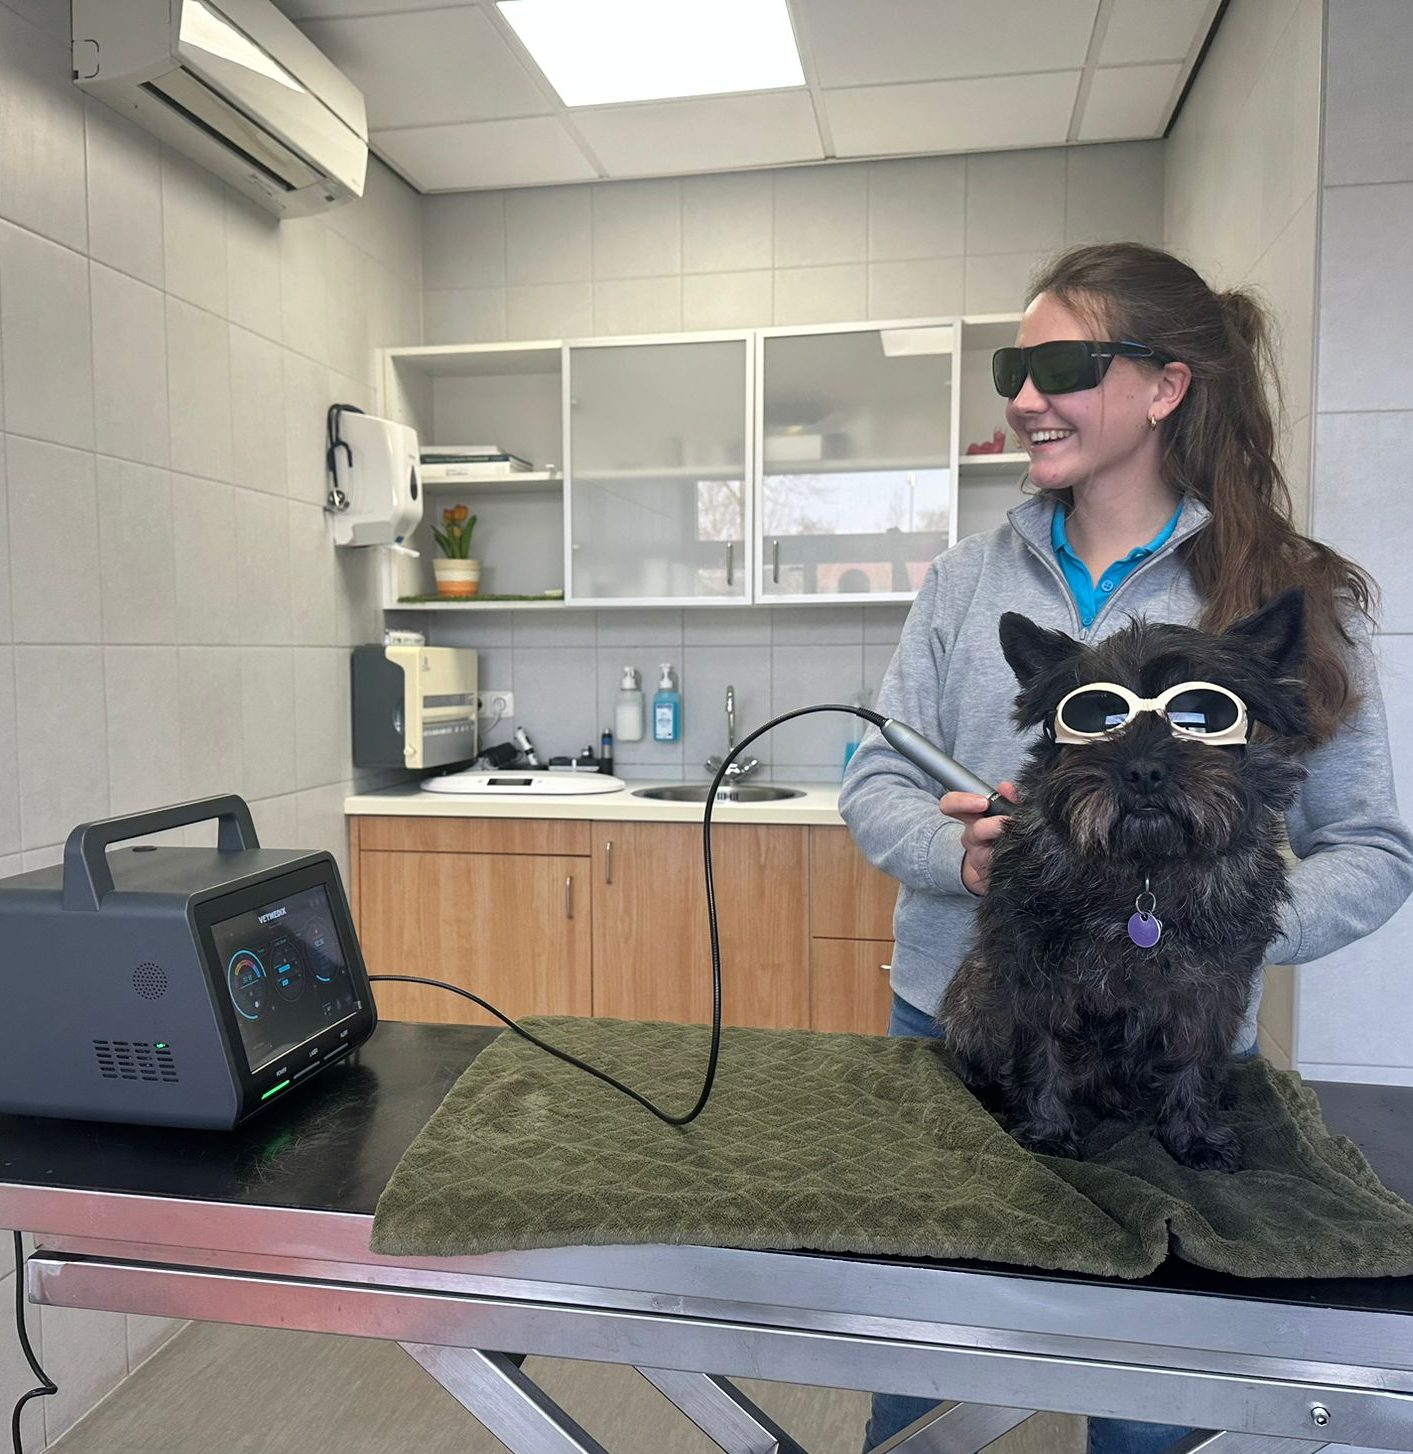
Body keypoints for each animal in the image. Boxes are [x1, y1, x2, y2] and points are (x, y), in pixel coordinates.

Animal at [939, 587, 1309, 1172]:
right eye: (1098, 715)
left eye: (1202, 715)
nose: (1144, 771)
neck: (1145, 872)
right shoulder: (1032, 970)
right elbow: (1041, 1051)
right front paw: (1046, 1132)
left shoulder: (1213, 986)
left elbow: (1197, 1058)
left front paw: (1195, 1134)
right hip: (972, 999)